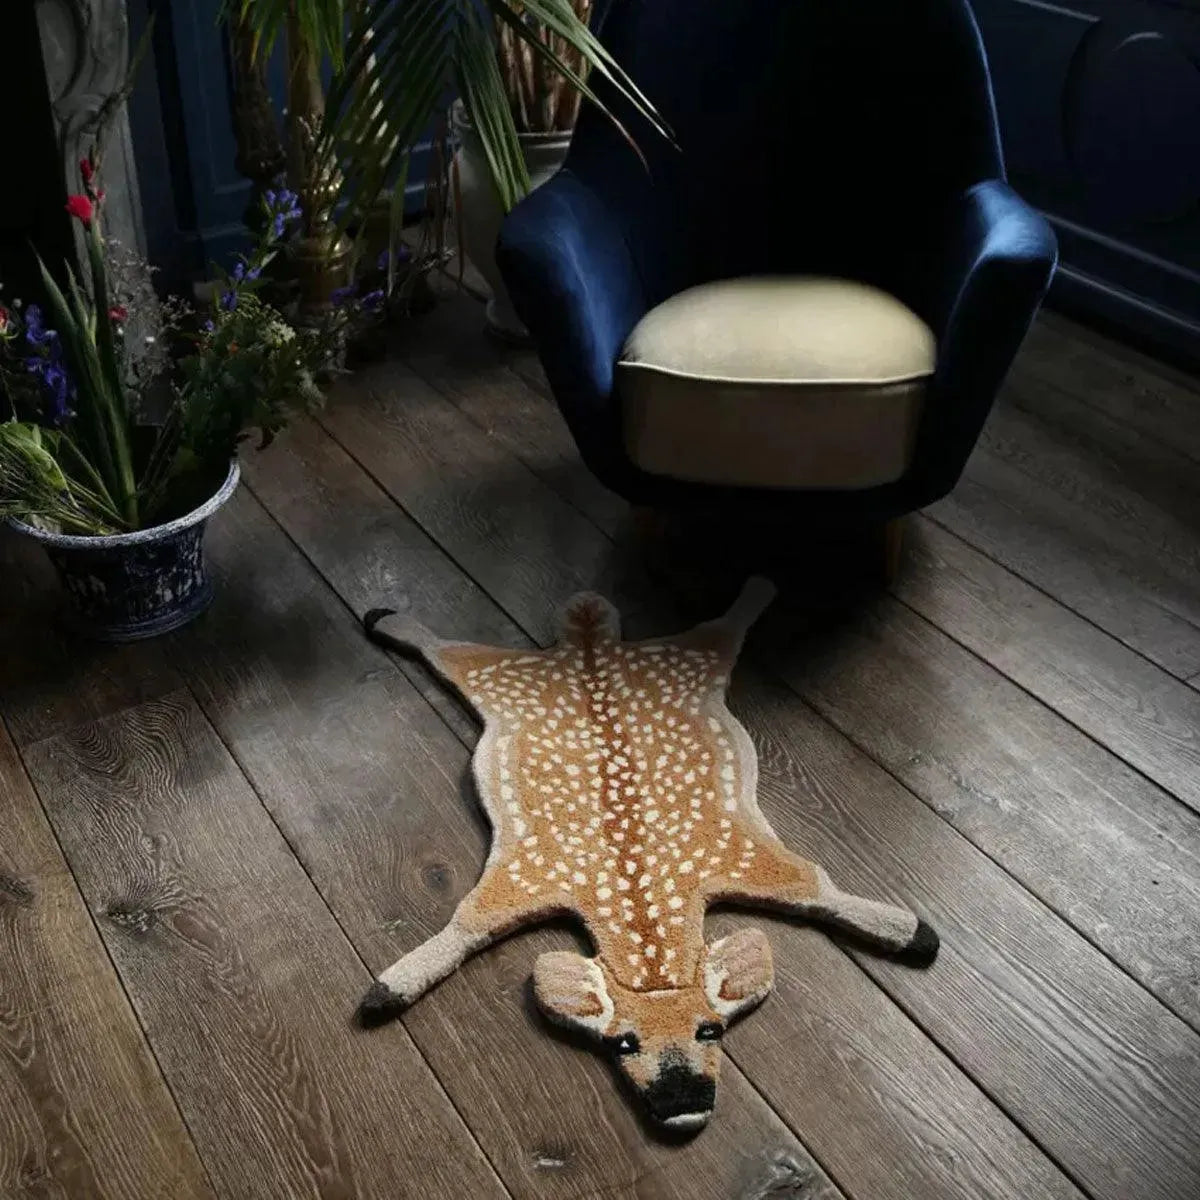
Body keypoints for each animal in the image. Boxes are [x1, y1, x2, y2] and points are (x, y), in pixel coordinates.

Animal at [358, 578, 938, 1131]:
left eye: (711, 1030)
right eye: (621, 1042)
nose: (682, 1106)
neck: (640, 897)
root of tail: (590, 641)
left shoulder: (745, 855)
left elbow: (819, 886)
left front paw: (913, 932)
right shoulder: (520, 877)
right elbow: (461, 926)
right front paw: (387, 988)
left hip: (681, 659)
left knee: (721, 627)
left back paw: (760, 584)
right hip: (496, 678)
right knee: (448, 649)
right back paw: (386, 617)